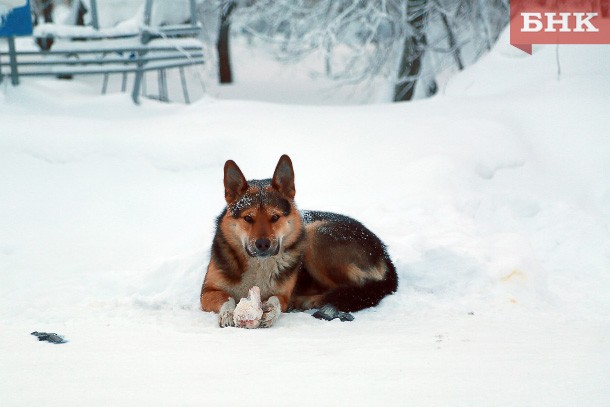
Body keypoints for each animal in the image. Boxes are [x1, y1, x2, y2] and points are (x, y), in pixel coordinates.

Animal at [201, 154, 400, 328]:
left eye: (275, 217)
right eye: (248, 218)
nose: (263, 244)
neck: (258, 264)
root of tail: (385, 254)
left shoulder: (282, 295)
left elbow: (275, 301)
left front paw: (271, 313)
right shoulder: (207, 292)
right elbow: (228, 299)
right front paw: (227, 313)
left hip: (314, 236)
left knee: (355, 290)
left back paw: (309, 301)